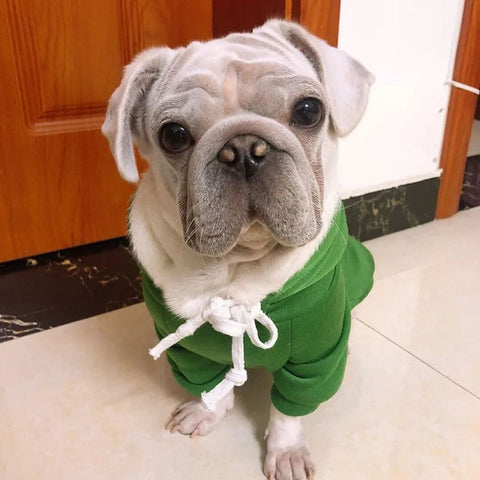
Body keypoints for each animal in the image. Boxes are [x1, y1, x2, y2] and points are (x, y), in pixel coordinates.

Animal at [102, 19, 376, 480]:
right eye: (173, 135)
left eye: (309, 110)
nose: (244, 148)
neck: (234, 277)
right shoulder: (186, 349)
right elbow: (207, 382)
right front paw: (207, 412)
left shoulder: (314, 357)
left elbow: (289, 410)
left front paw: (285, 450)